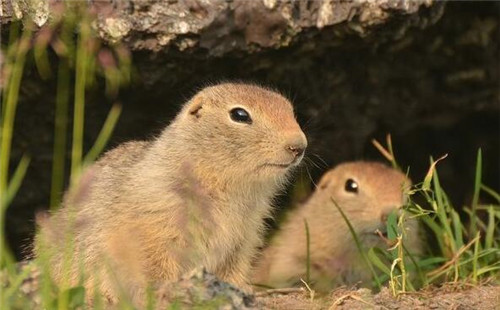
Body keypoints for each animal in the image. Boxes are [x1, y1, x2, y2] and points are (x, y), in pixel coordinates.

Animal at [35, 81, 306, 302]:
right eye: (239, 115)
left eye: (290, 110)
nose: (299, 146)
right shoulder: (155, 223)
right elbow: (154, 263)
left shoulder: (245, 236)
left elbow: (235, 269)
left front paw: (242, 290)